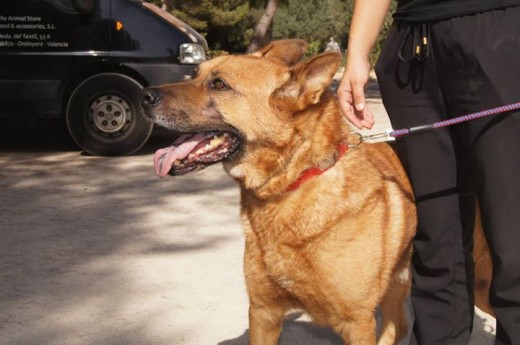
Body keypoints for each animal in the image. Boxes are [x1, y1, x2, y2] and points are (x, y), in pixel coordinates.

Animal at [143, 39, 418, 344]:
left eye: (218, 84)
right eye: (195, 74)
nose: (145, 95)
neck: (294, 181)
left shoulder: (357, 323)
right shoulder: (263, 312)